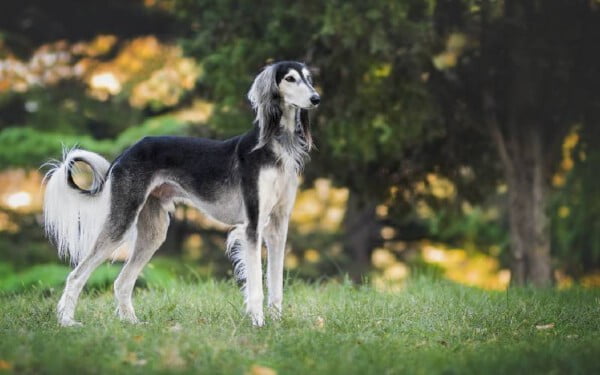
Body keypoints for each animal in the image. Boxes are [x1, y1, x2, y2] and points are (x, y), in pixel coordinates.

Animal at [42, 61, 322, 326]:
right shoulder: (252, 226)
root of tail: (125, 153)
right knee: (76, 275)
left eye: (308, 78)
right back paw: (66, 321)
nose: (316, 98)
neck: (275, 145)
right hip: (122, 221)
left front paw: (276, 322)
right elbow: (255, 284)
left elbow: (276, 283)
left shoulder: (278, 226)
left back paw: (132, 323)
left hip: (153, 231)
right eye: (290, 78)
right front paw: (258, 322)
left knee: (121, 282)